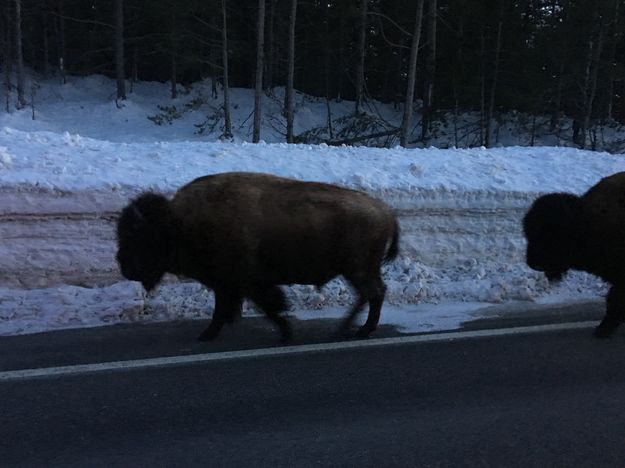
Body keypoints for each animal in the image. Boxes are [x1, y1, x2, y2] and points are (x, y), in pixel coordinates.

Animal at [116, 171, 400, 340]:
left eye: (139, 236)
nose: (125, 266)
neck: (179, 223)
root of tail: (385, 211)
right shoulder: (229, 284)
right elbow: (229, 308)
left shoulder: (242, 282)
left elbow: (264, 306)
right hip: (358, 269)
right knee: (371, 294)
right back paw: (347, 327)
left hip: (357, 269)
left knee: (373, 293)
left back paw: (359, 329)